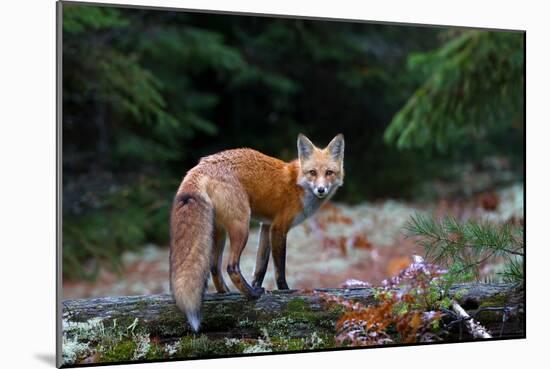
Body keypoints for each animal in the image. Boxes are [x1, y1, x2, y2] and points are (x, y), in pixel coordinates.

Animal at [170, 133, 348, 330]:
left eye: (329, 172)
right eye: (313, 172)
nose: (321, 189)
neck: (297, 185)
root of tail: (200, 166)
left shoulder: (266, 226)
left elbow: (260, 266)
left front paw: (257, 284)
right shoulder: (278, 228)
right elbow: (279, 269)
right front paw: (285, 291)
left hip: (219, 231)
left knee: (214, 267)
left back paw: (227, 293)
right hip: (242, 226)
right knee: (231, 267)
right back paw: (251, 295)